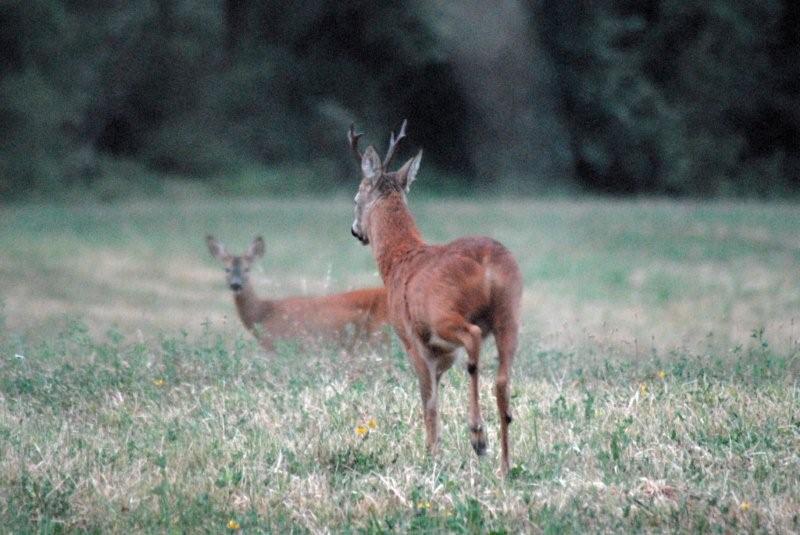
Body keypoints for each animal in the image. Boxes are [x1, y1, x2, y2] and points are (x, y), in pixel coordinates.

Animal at [206, 234, 388, 352]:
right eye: (226, 269)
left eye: (247, 269)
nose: (236, 284)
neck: (263, 314)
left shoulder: (286, 343)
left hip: (379, 334)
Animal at [346, 122, 520, 478]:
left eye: (357, 195)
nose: (356, 231)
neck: (398, 261)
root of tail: (488, 262)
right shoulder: (444, 355)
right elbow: (434, 396)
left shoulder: (414, 341)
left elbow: (428, 402)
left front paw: (431, 455)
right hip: (510, 314)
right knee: (501, 379)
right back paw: (505, 465)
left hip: (444, 313)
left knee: (473, 339)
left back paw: (478, 435)